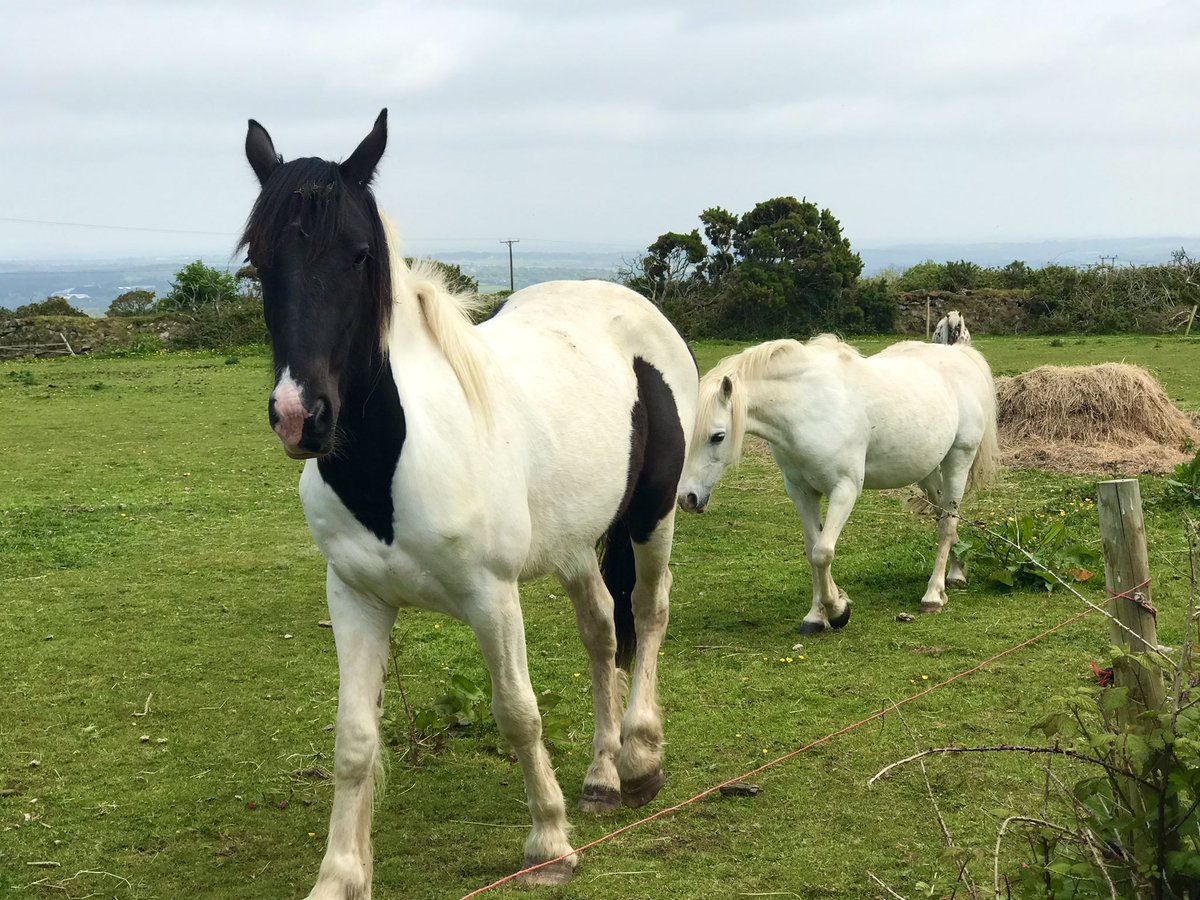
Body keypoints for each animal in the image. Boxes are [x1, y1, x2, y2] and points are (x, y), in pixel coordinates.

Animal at [240, 110, 698, 896]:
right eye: (259, 264)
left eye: (360, 255)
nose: (302, 417)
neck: (395, 464)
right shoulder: (355, 598)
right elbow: (354, 737)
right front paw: (340, 875)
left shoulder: (492, 597)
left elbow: (517, 712)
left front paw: (548, 842)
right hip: (574, 543)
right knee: (602, 631)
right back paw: (603, 774)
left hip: (652, 514)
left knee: (647, 613)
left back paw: (640, 757)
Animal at [677, 334, 997, 634]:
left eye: (717, 436)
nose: (687, 498)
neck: (806, 408)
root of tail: (960, 354)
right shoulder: (801, 492)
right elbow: (812, 550)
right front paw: (816, 616)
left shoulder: (844, 490)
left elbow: (823, 552)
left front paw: (837, 610)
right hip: (927, 472)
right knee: (943, 516)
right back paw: (956, 573)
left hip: (958, 459)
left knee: (948, 524)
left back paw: (933, 595)